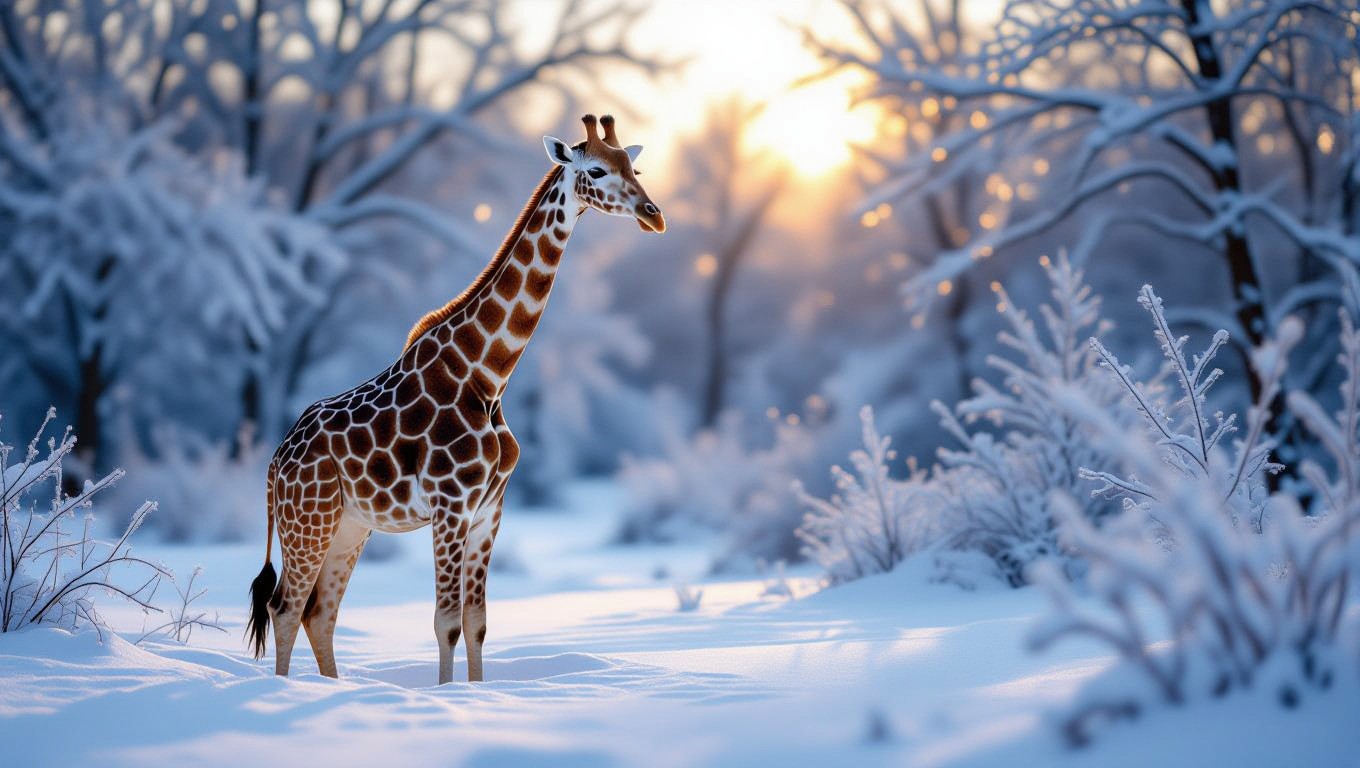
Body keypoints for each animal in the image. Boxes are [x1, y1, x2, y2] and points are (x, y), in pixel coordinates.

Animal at [245, 114, 665, 684]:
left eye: (634, 168)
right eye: (596, 170)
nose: (653, 215)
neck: (487, 375)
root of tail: (274, 463)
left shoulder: (489, 508)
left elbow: (476, 622)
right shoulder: (451, 504)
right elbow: (445, 621)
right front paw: (448, 695)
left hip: (349, 526)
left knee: (320, 614)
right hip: (308, 520)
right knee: (285, 608)